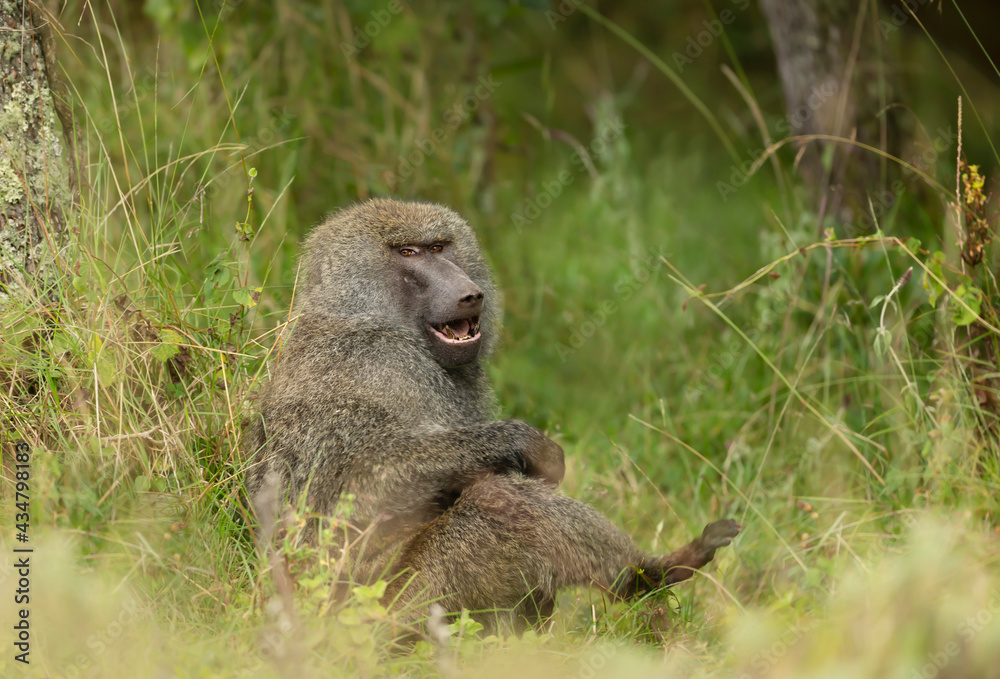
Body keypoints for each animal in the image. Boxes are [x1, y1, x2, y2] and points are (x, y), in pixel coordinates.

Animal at [244, 197, 740, 634]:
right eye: (408, 253)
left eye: (439, 247)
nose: (468, 293)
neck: (361, 315)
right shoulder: (377, 364)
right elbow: (359, 492)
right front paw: (523, 443)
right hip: (399, 600)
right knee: (499, 502)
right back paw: (654, 573)